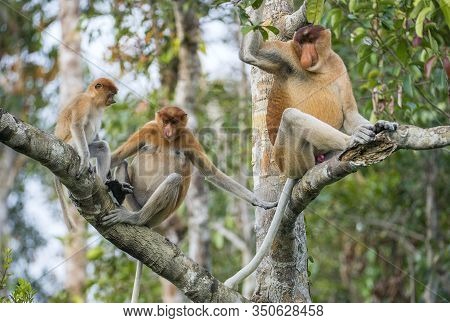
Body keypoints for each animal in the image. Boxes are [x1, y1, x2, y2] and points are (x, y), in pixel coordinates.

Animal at [103, 107, 278, 304]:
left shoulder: (188, 136)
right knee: (124, 163)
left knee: (174, 178)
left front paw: (260, 201)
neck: (166, 139)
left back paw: (135, 218)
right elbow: (118, 156)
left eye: (174, 122)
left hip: (159, 214)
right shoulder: (149, 128)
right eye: (165, 122)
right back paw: (119, 194)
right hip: (135, 201)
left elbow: (211, 172)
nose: (168, 130)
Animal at [225, 16, 398, 288]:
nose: (306, 55)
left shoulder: (339, 65)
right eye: (300, 42)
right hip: (290, 157)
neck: (319, 67)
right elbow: (251, 55)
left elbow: (350, 114)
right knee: (291, 116)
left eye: (310, 40)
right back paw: (352, 141)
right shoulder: (286, 55)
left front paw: (381, 124)